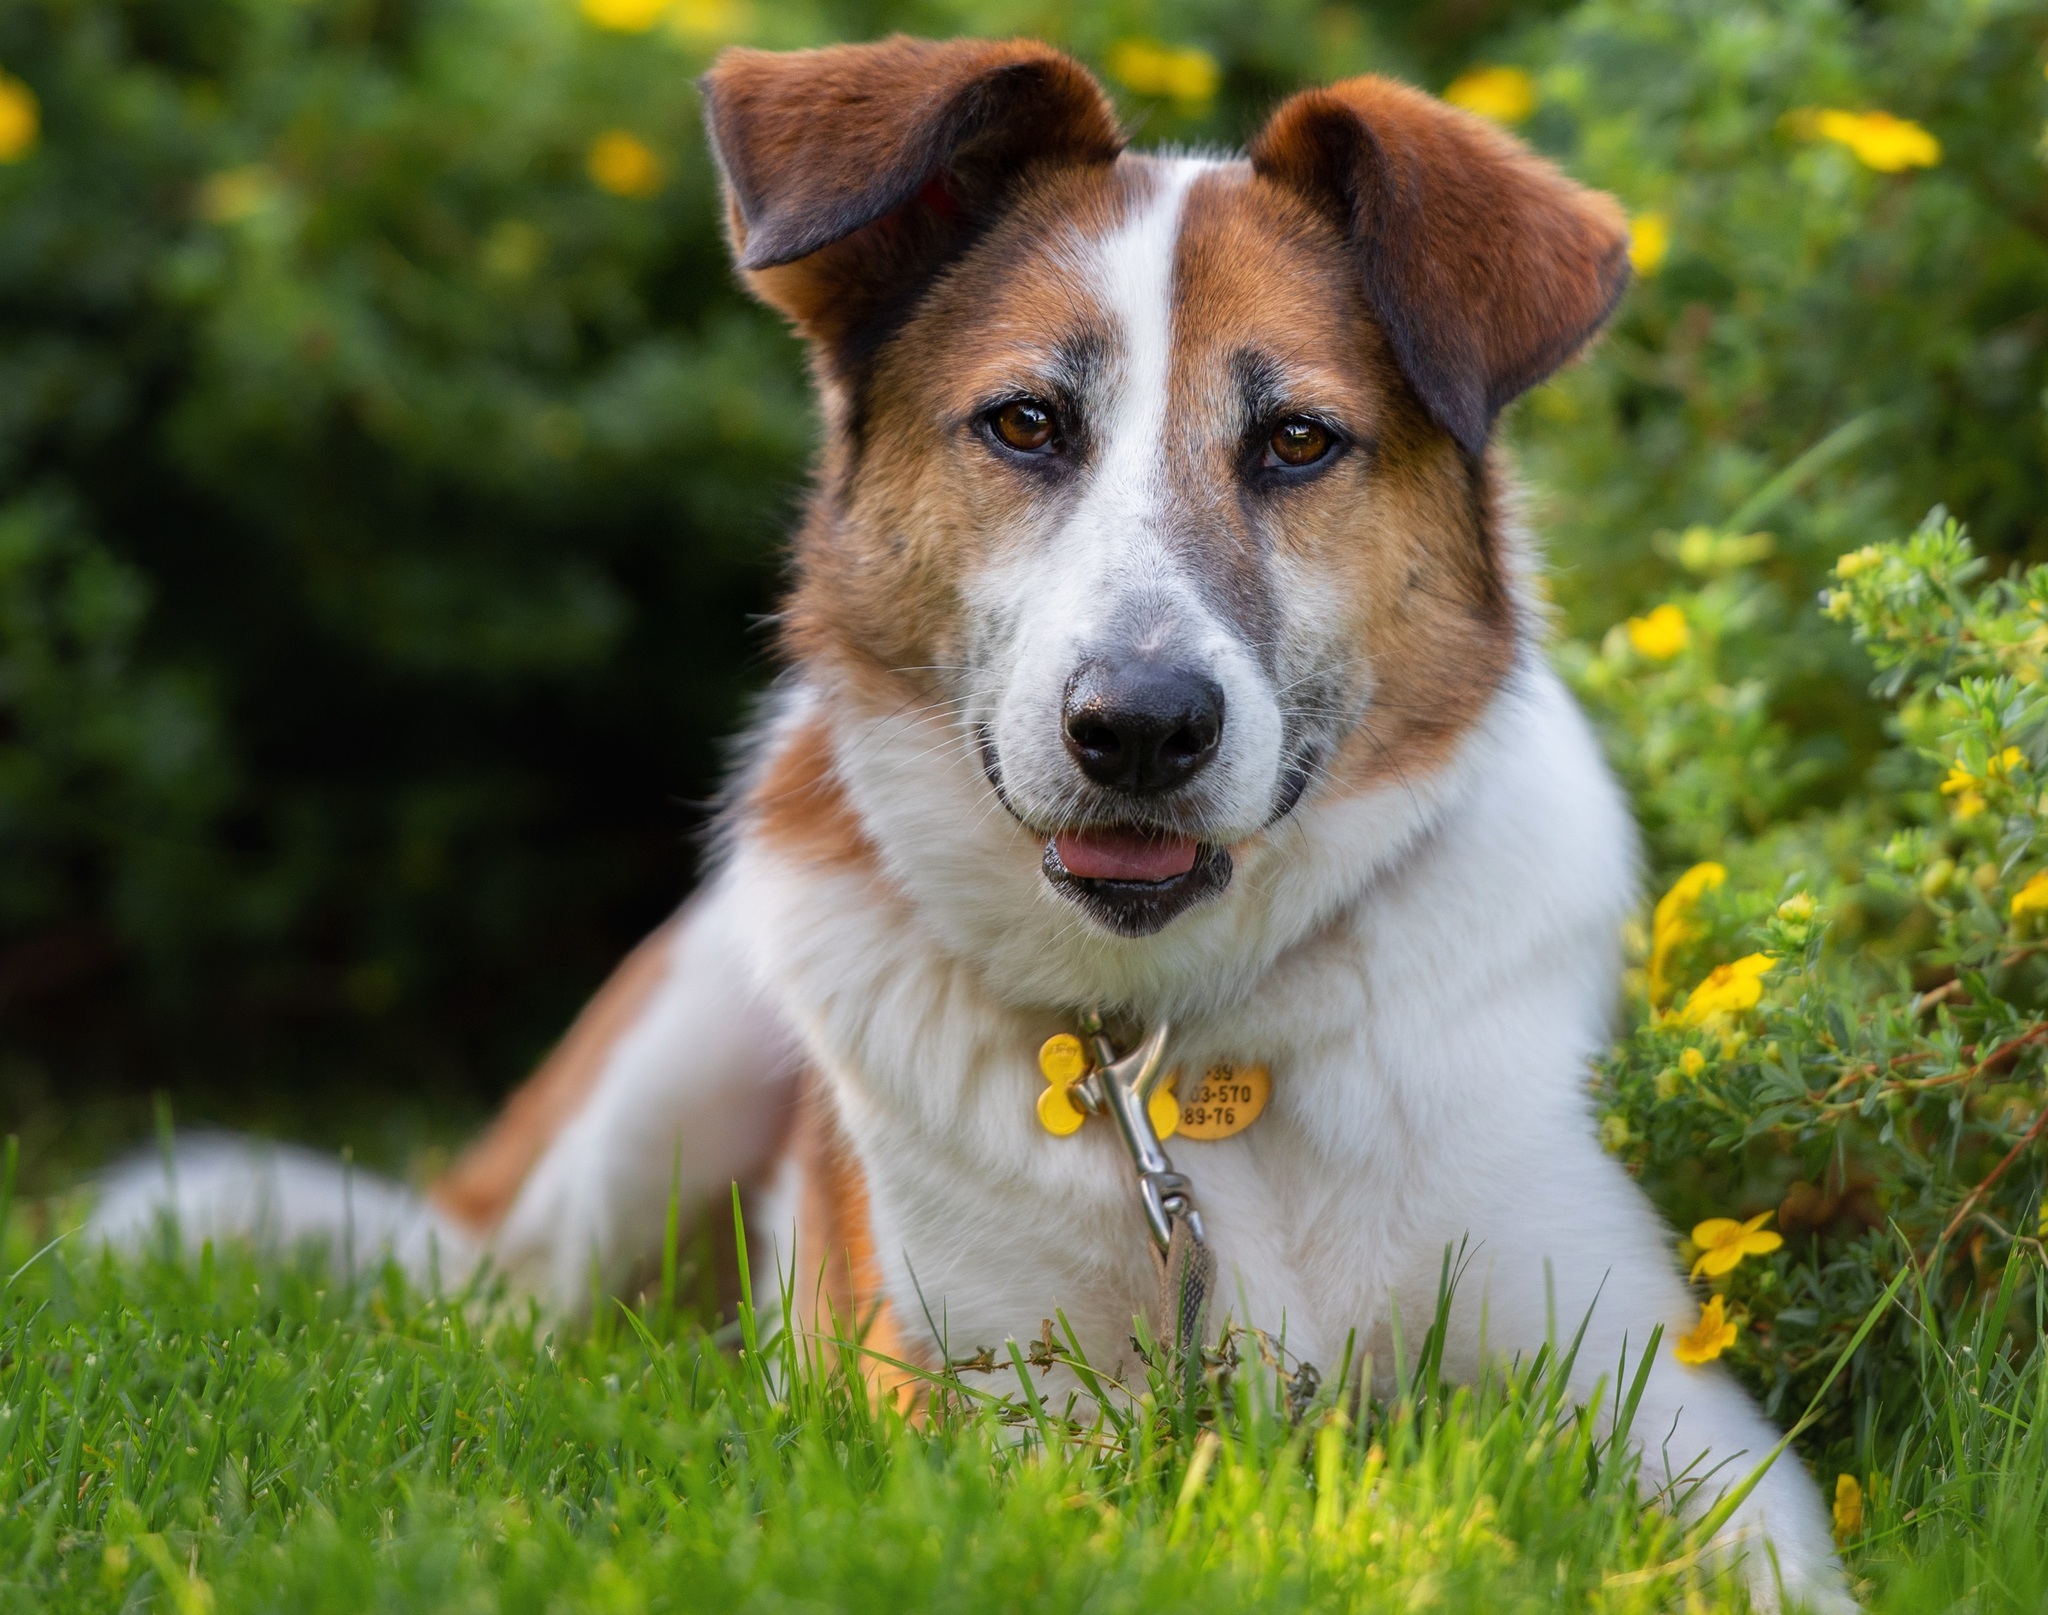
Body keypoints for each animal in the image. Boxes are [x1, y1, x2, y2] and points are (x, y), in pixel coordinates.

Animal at [96, 34, 1851, 1596]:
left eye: (1297, 440)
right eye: (1024, 423)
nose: (1138, 727)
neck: (1176, 1052)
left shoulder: (1653, 1381)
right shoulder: (971, 1410)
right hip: (664, 1070)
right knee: (503, 1320)